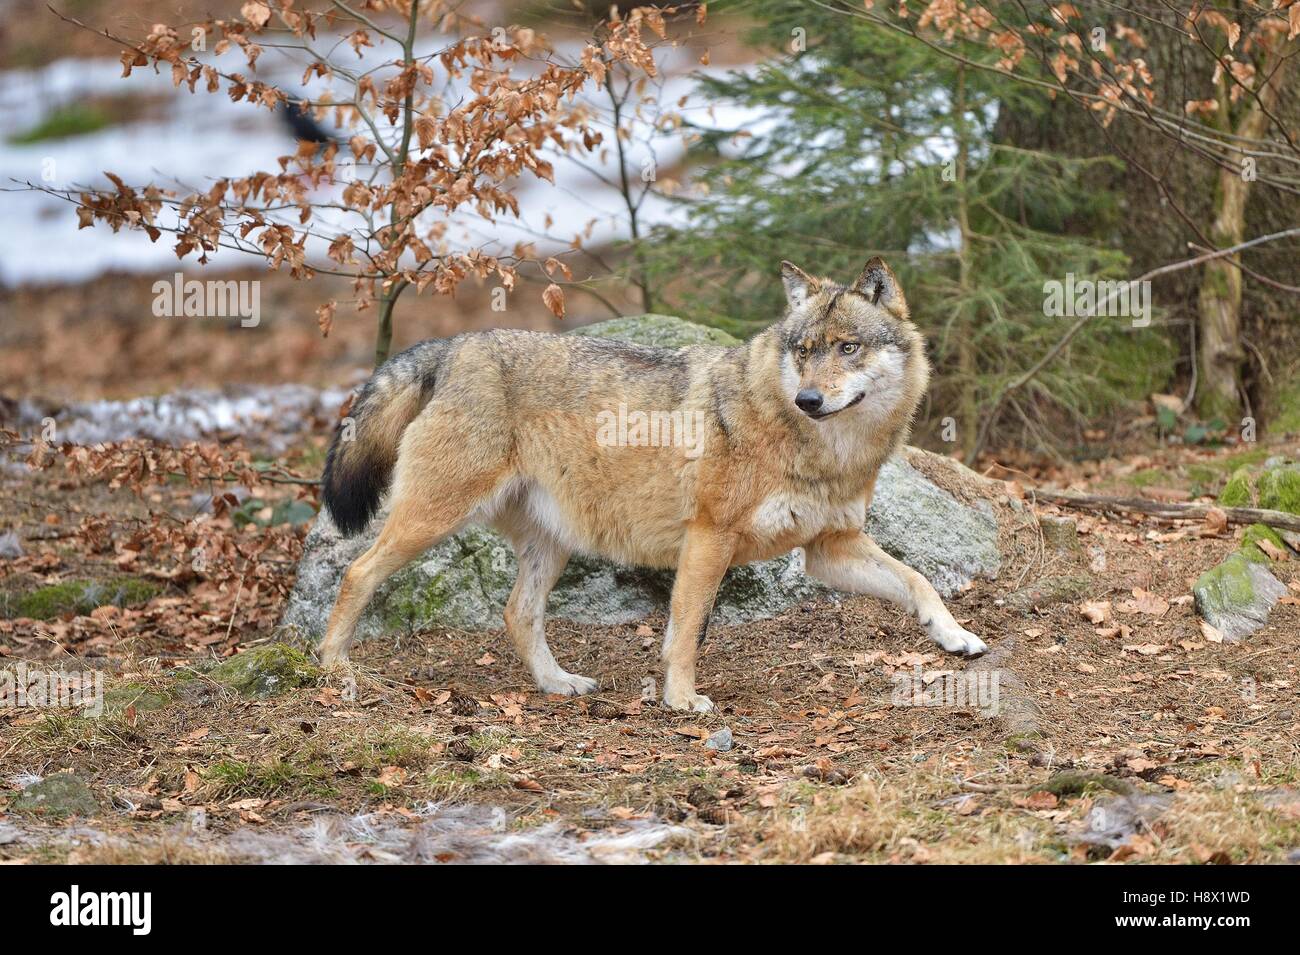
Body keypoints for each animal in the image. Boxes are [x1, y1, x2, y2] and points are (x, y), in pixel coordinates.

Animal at [318, 258, 988, 711]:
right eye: (803, 350)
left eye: (848, 348)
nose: (809, 399)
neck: (824, 450)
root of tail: (455, 345)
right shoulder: (709, 538)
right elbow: (686, 632)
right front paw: (683, 700)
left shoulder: (830, 548)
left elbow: (919, 581)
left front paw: (956, 637)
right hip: (432, 521)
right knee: (357, 573)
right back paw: (333, 674)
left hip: (551, 544)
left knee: (516, 614)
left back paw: (558, 683)